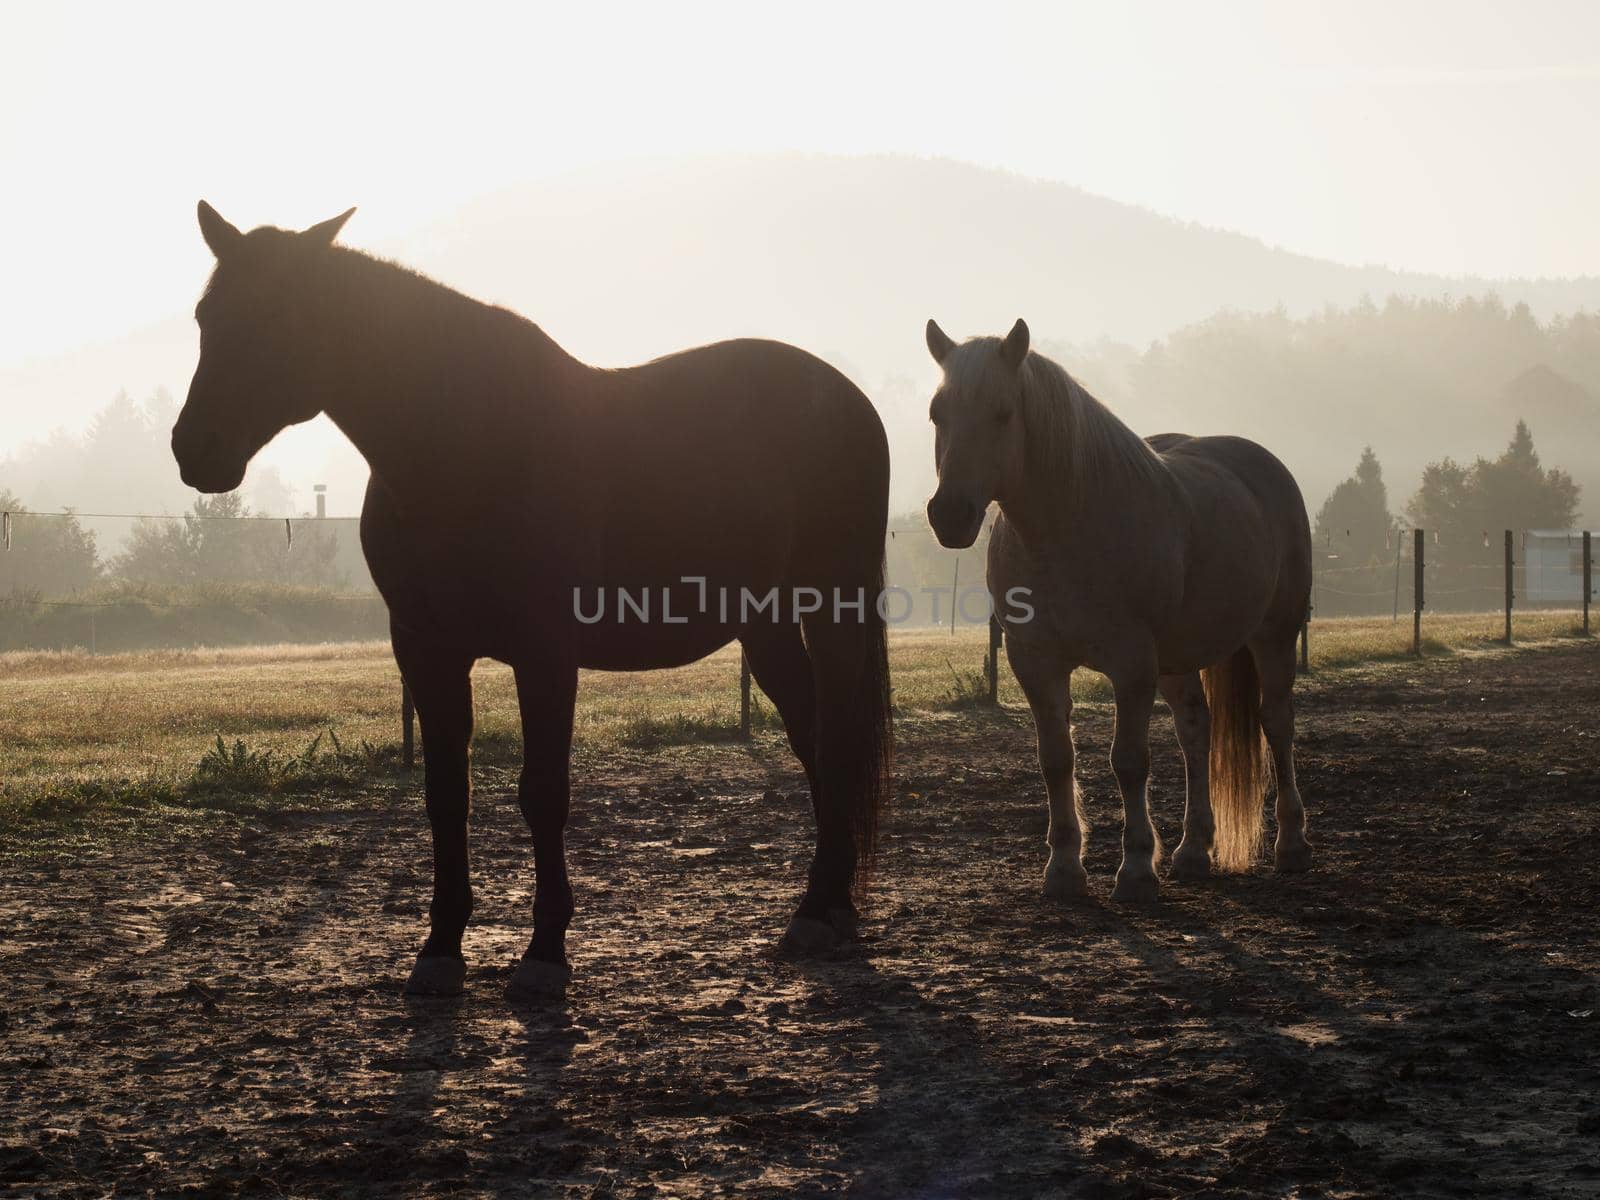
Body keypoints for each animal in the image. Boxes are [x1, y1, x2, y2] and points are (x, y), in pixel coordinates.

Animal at [176, 202, 902, 998]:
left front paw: (545, 951)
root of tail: (845, 397)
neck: (463, 447)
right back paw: (827, 906)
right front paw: (440, 947)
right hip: (764, 625)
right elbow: (446, 795)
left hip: (830, 606)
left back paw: (819, 910)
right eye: (207, 316)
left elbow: (543, 792)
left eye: (280, 314)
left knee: (835, 736)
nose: (194, 448)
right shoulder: (426, 650)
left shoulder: (546, 651)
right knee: (811, 735)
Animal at [928, 320, 1312, 902]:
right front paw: (1064, 868)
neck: (1070, 530)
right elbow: (1055, 760)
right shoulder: (1035, 662)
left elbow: (1128, 762)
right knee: (1195, 731)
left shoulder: (1131, 666)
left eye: (1002, 413)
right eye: (937, 413)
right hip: (1177, 661)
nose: (949, 514)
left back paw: (1292, 845)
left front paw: (1134, 870)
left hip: (1274, 636)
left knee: (1277, 724)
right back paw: (1192, 851)